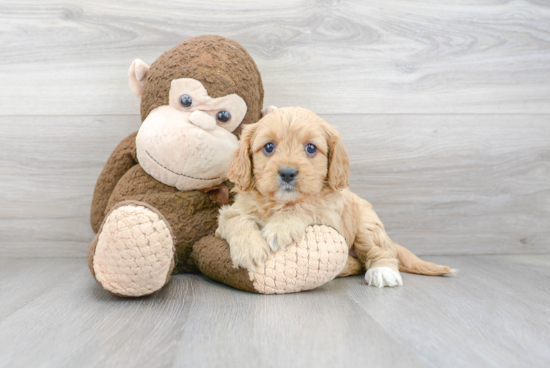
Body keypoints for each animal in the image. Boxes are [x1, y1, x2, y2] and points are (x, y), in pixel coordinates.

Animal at [218, 106, 454, 288]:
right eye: (268, 147)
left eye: (311, 148)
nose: (287, 173)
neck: (279, 202)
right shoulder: (229, 213)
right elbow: (237, 221)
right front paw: (250, 249)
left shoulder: (330, 218)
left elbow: (305, 206)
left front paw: (280, 228)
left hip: (367, 227)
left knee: (381, 250)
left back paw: (383, 272)